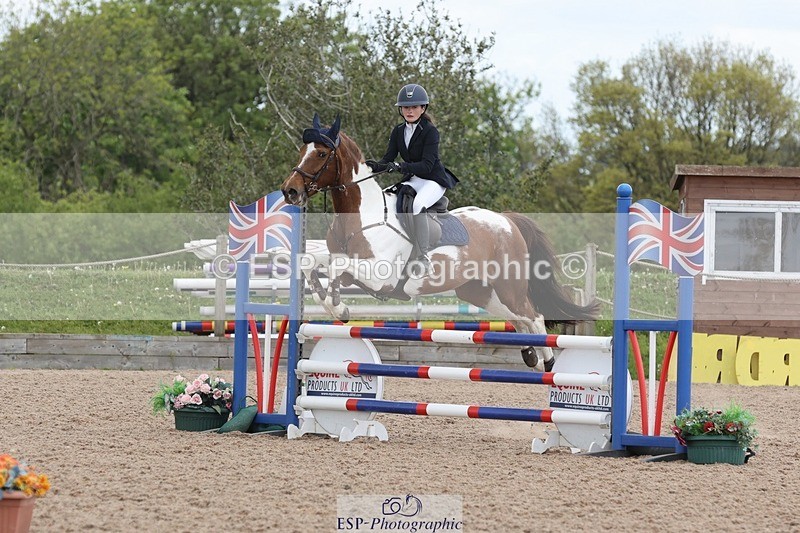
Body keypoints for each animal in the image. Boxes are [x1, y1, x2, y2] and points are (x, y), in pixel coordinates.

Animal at [280, 115, 600, 371]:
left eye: (321, 153)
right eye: (302, 150)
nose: (289, 191)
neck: (361, 214)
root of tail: (506, 221)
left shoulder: (379, 276)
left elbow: (336, 269)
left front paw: (340, 309)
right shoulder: (349, 266)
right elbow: (312, 262)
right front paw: (330, 303)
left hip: (509, 288)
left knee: (535, 316)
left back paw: (548, 361)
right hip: (481, 293)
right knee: (521, 320)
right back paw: (530, 355)